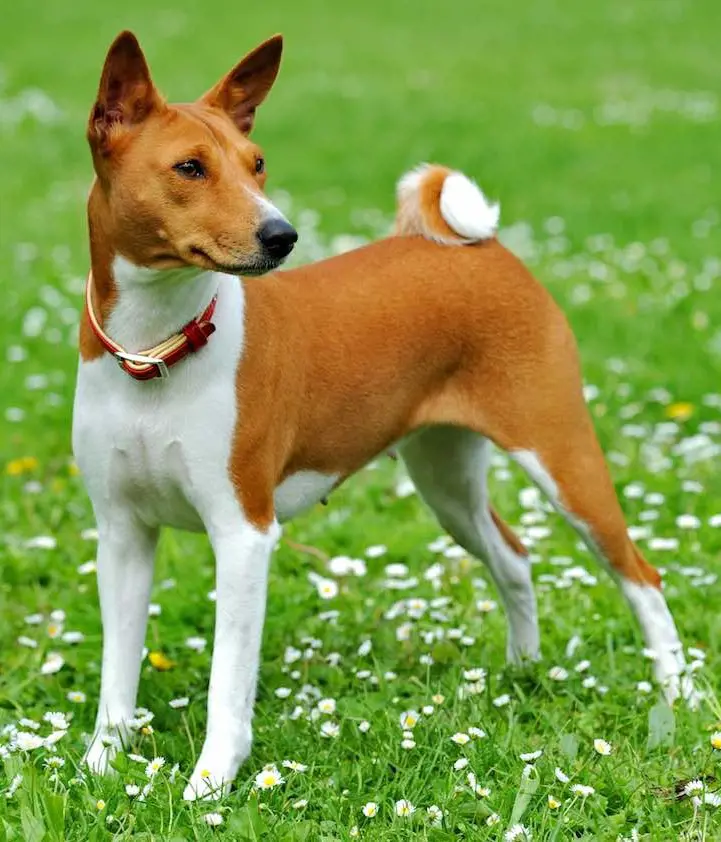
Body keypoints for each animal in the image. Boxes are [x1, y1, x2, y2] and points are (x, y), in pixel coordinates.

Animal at [74, 29, 696, 796]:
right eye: (189, 167)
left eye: (256, 164)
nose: (281, 235)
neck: (156, 352)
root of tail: (484, 248)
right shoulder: (122, 534)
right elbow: (117, 676)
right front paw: (99, 768)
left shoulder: (243, 533)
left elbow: (227, 682)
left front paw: (209, 787)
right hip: (446, 480)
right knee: (514, 557)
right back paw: (520, 674)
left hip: (563, 459)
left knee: (641, 576)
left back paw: (676, 694)